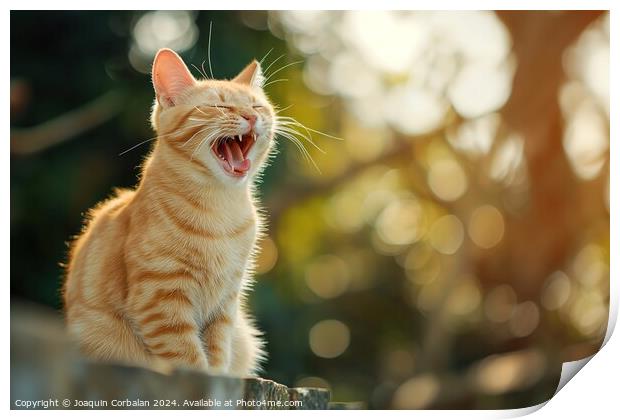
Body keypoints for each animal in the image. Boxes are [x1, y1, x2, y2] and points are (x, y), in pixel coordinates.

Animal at [63, 47, 276, 376]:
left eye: (257, 105)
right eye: (218, 105)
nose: (251, 116)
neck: (221, 206)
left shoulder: (225, 304)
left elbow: (217, 353)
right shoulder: (161, 299)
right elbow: (189, 360)